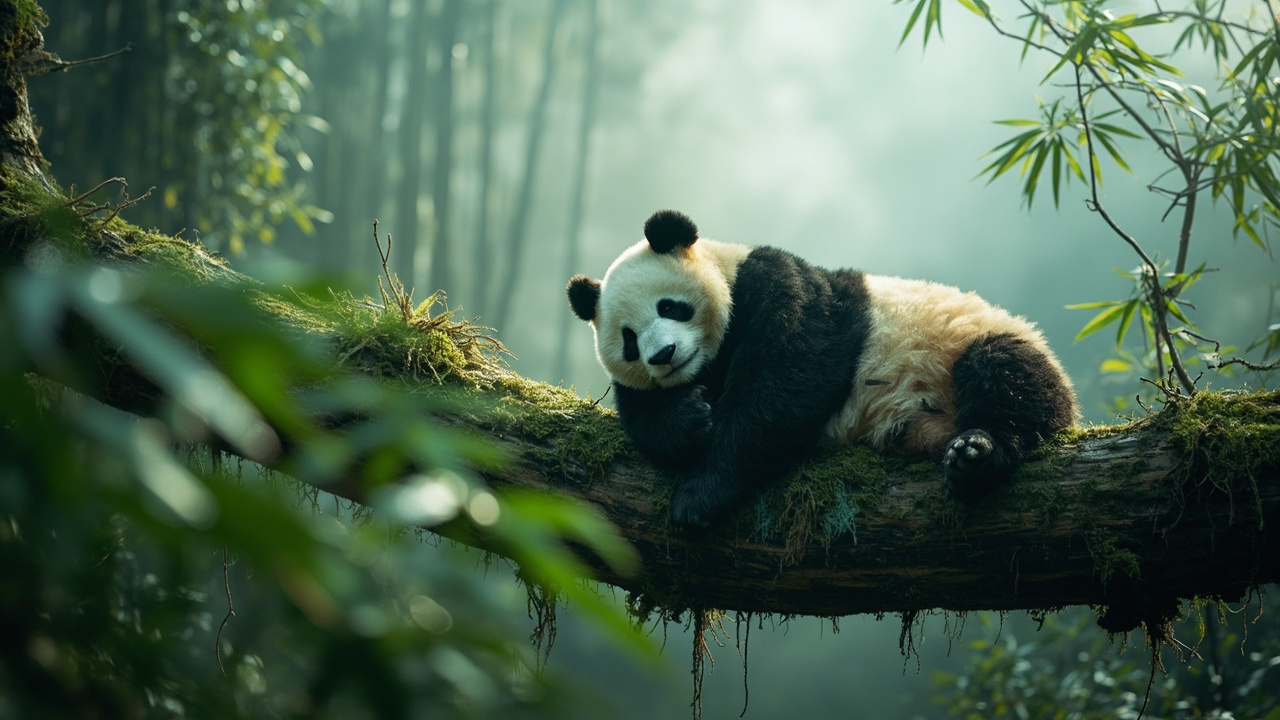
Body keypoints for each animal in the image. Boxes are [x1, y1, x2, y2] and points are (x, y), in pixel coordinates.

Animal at [567, 210, 1078, 529]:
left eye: (670, 306)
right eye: (629, 340)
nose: (664, 355)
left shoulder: (781, 287)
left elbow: (784, 382)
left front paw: (700, 496)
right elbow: (642, 409)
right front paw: (690, 419)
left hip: (971, 343)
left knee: (1008, 378)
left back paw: (977, 455)